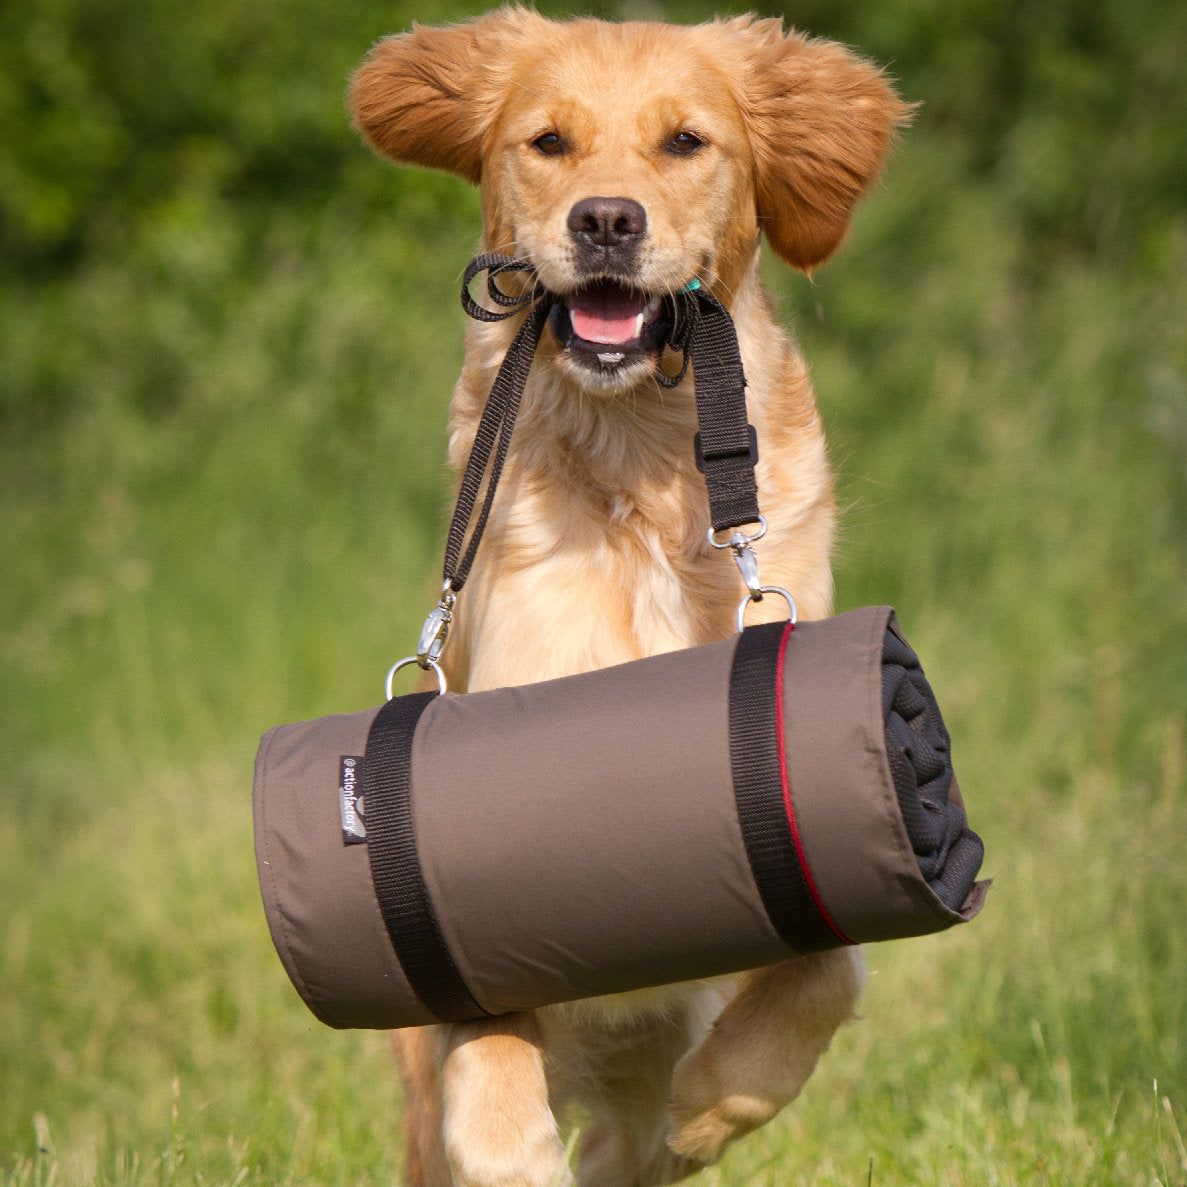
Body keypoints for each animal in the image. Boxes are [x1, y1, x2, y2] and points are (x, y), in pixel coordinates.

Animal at [351, 11, 906, 1187]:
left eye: (685, 142)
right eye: (547, 142)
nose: (605, 220)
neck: (640, 460)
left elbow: (828, 970)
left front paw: (713, 1098)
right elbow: (488, 1042)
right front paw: (516, 1146)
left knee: (629, 1136)